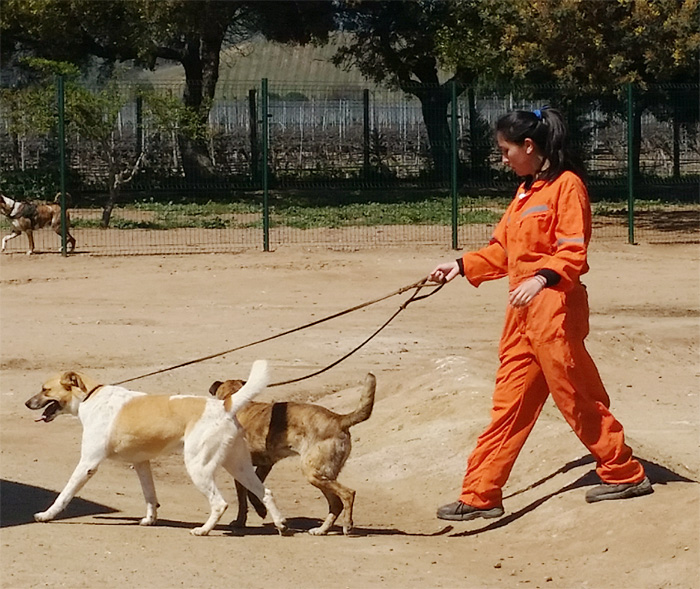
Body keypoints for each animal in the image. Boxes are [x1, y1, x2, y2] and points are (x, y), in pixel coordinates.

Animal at [24, 360, 288, 536]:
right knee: (266, 493)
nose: (26, 403)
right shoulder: (141, 463)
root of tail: (224, 405)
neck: (91, 397)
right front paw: (150, 520)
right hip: (239, 467)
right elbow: (150, 496)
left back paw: (203, 530)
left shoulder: (88, 464)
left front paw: (46, 515)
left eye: (45, 389)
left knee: (219, 503)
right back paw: (281, 525)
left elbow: (64, 494)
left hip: (199, 467)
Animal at [208, 374, 374, 536]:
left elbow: (245, 498)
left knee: (348, 494)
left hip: (312, 472)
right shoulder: (264, 465)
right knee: (336, 504)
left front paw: (249, 516)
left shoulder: (244, 470)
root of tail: (339, 419)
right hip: (322, 474)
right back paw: (322, 530)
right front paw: (253, 514)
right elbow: (250, 494)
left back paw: (347, 525)